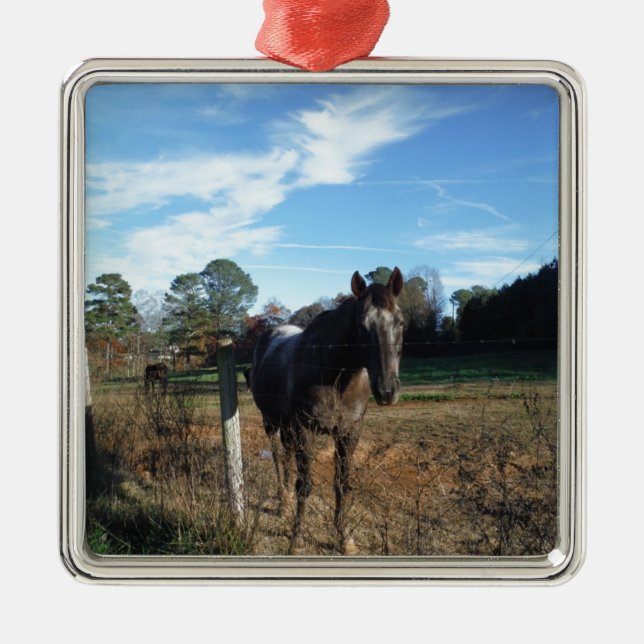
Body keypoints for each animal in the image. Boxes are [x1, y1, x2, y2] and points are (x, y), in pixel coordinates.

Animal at [250, 267, 404, 554]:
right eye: (360, 325)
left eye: (400, 322)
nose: (387, 390)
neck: (335, 375)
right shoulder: (304, 429)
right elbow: (305, 484)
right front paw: (297, 538)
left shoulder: (349, 432)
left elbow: (341, 484)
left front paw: (344, 537)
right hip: (271, 422)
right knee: (278, 458)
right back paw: (282, 503)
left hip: (287, 427)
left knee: (286, 457)